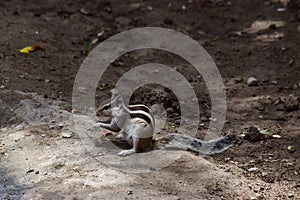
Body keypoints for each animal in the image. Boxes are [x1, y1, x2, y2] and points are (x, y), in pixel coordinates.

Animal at [94, 89, 237, 156]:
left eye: (106, 107)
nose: (96, 111)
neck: (120, 109)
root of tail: (150, 142)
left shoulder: (119, 119)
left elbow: (114, 127)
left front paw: (96, 123)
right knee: (125, 137)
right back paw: (120, 137)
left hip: (139, 132)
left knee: (136, 149)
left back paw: (127, 151)